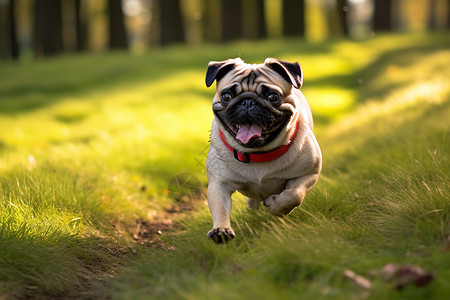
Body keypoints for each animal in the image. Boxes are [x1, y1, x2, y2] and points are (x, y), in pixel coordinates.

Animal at [206, 57, 322, 243]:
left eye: (273, 96)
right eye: (226, 96)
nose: (247, 101)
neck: (258, 154)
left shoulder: (309, 173)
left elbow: (294, 194)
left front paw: (276, 207)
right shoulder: (219, 183)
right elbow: (220, 208)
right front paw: (221, 230)